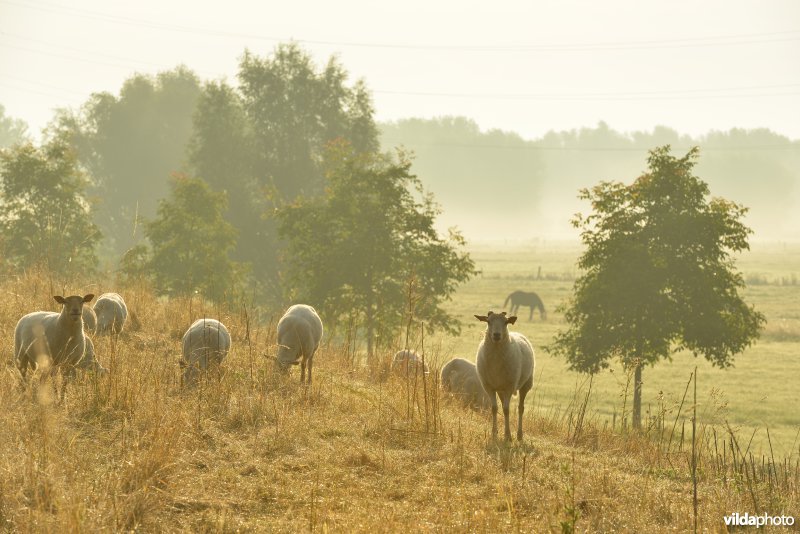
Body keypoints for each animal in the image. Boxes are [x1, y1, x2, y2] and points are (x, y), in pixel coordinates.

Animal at [472, 312, 536, 442]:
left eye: (506, 322)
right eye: (488, 321)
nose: (496, 335)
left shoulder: (509, 387)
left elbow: (507, 410)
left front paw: (507, 435)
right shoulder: (489, 387)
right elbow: (494, 408)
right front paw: (494, 433)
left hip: (526, 384)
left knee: (520, 408)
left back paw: (519, 435)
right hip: (500, 389)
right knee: (502, 406)